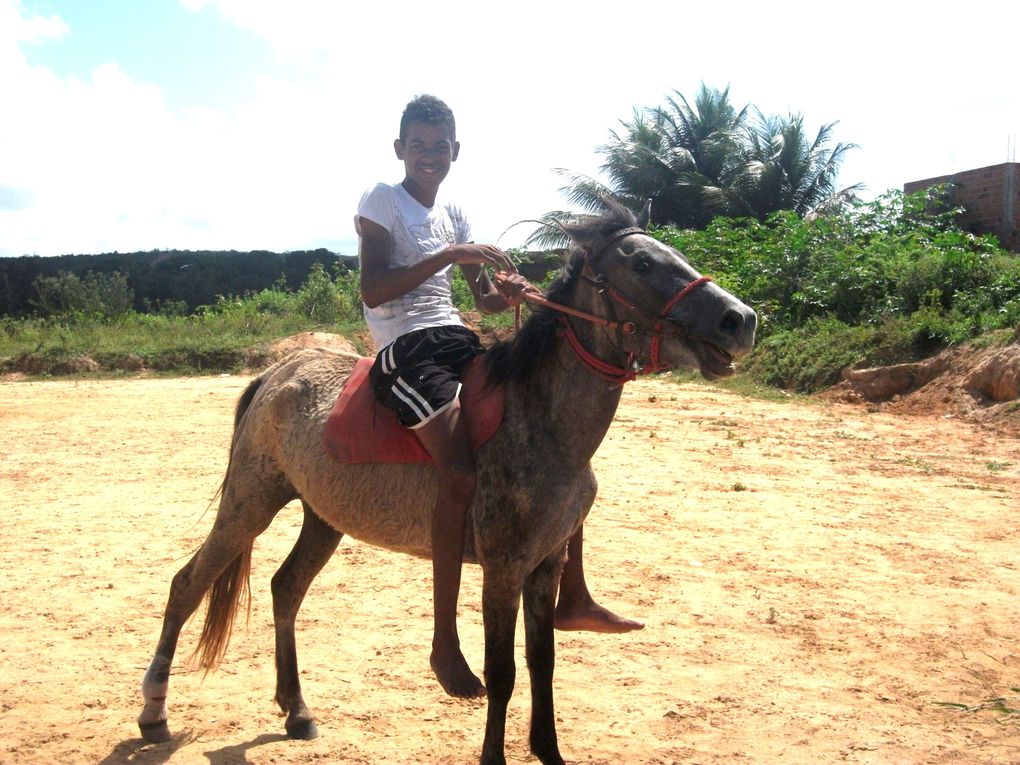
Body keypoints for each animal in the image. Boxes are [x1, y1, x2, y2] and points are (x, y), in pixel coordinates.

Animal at [135, 200, 758, 762]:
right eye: (642, 264)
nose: (741, 320)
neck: (539, 418)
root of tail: (277, 372)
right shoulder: (503, 569)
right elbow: (502, 674)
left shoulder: (545, 565)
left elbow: (543, 664)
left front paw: (548, 751)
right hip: (250, 503)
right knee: (186, 585)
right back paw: (154, 713)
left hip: (323, 517)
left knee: (285, 589)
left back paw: (296, 710)